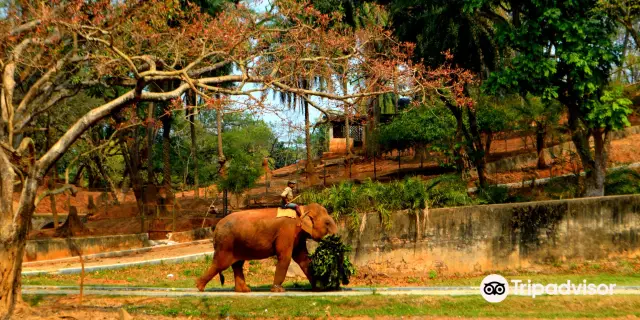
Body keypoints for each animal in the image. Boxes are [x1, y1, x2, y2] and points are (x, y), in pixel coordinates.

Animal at [195, 202, 338, 292]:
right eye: (327, 223)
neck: (302, 209)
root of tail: (216, 227)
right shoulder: (286, 231)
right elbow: (285, 257)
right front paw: (278, 290)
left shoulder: (298, 236)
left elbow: (303, 259)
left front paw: (319, 288)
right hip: (226, 244)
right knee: (220, 264)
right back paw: (199, 287)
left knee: (237, 265)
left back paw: (244, 291)